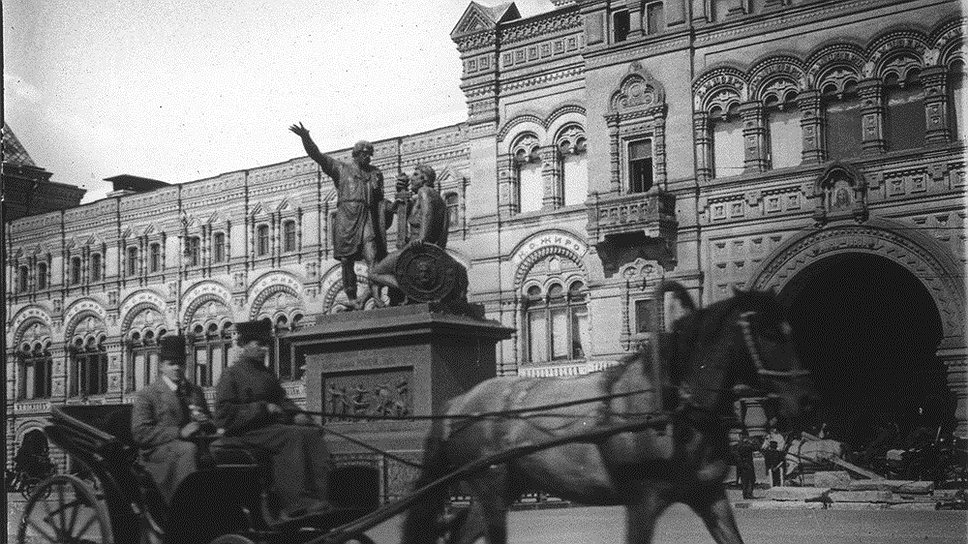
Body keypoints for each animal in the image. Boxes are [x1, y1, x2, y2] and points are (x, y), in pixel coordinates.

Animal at [398, 282, 812, 540]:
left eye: (791, 332)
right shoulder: (644, 501)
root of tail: (457, 404)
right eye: (768, 333)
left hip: (500, 490)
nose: (806, 398)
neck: (673, 405)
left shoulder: (709, 495)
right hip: (491, 487)